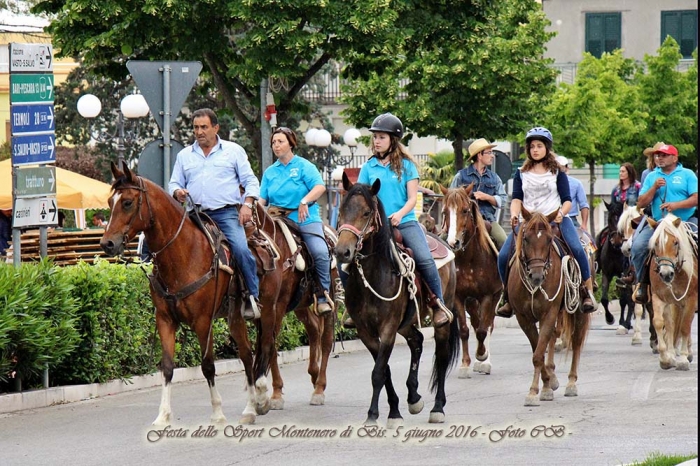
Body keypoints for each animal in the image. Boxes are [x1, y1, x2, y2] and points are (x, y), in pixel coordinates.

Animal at [100, 162, 336, 424]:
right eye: (110, 202)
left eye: (127, 202)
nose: (107, 244)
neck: (184, 253)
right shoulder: (165, 319)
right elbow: (168, 367)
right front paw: (163, 416)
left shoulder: (204, 321)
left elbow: (208, 365)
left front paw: (218, 414)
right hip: (240, 317)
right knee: (249, 354)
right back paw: (252, 406)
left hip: (275, 308)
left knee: (281, 344)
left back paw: (285, 392)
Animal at [334, 175, 460, 426]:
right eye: (341, 210)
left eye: (366, 213)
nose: (342, 251)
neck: (374, 275)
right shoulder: (366, 331)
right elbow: (384, 370)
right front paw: (394, 411)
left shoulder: (388, 328)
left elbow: (378, 372)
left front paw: (374, 415)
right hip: (406, 323)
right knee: (417, 341)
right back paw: (414, 397)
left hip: (440, 321)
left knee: (441, 357)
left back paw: (437, 408)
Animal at [440, 184, 500, 376]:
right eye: (445, 212)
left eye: (465, 210)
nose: (453, 242)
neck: (469, 259)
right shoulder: (459, 297)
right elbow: (465, 330)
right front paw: (465, 364)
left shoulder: (488, 296)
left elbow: (483, 330)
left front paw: (482, 356)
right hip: (472, 301)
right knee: (475, 322)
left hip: (495, 297)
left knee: (488, 325)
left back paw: (485, 360)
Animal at [504, 209, 592, 406]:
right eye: (525, 238)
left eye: (549, 239)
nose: (536, 276)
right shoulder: (523, 318)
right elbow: (538, 350)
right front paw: (547, 384)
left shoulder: (549, 313)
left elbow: (538, 353)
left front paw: (535, 391)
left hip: (579, 311)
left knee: (576, 343)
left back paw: (571, 383)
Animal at [644, 215, 696, 372]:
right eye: (655, 244)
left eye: (675, 243)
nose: (666, 274)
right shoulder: (660, 297)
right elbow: (661, 323)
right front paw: (666, 358)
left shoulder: (691, 299)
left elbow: (685, 326)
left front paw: (683, 359)